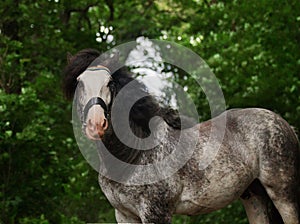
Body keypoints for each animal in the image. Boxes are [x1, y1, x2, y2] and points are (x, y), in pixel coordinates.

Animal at [62, 48, 298, 223]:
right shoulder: (124, 216)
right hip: (254, 196)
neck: (133, 155)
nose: (96, 124)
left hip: (283, 193)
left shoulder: (155, 213)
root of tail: (283, 123)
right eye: (78, 83)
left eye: (110, 83)